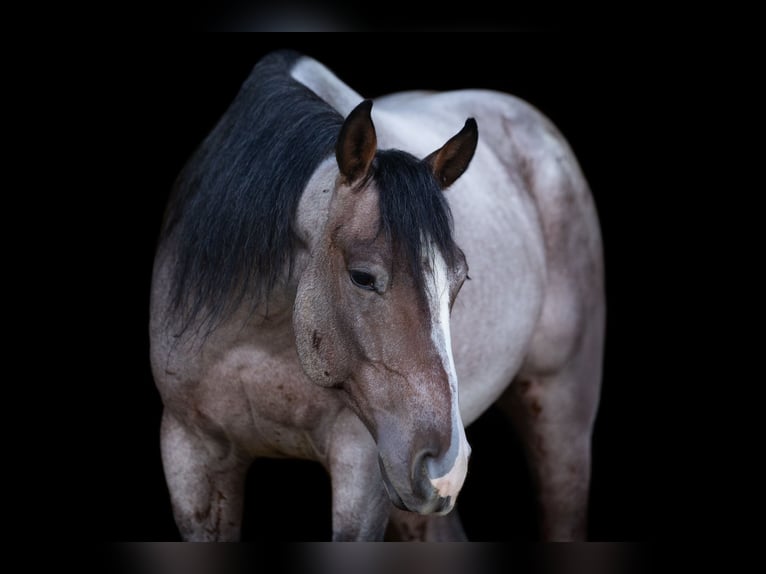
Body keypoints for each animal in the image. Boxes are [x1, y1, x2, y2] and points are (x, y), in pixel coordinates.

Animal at [149, 49, 605, 541]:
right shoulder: (191, 456)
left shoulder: (362, 466)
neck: (256, 338)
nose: (445, 468)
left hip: (559, 420)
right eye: (363, 277)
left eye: (459, 279)